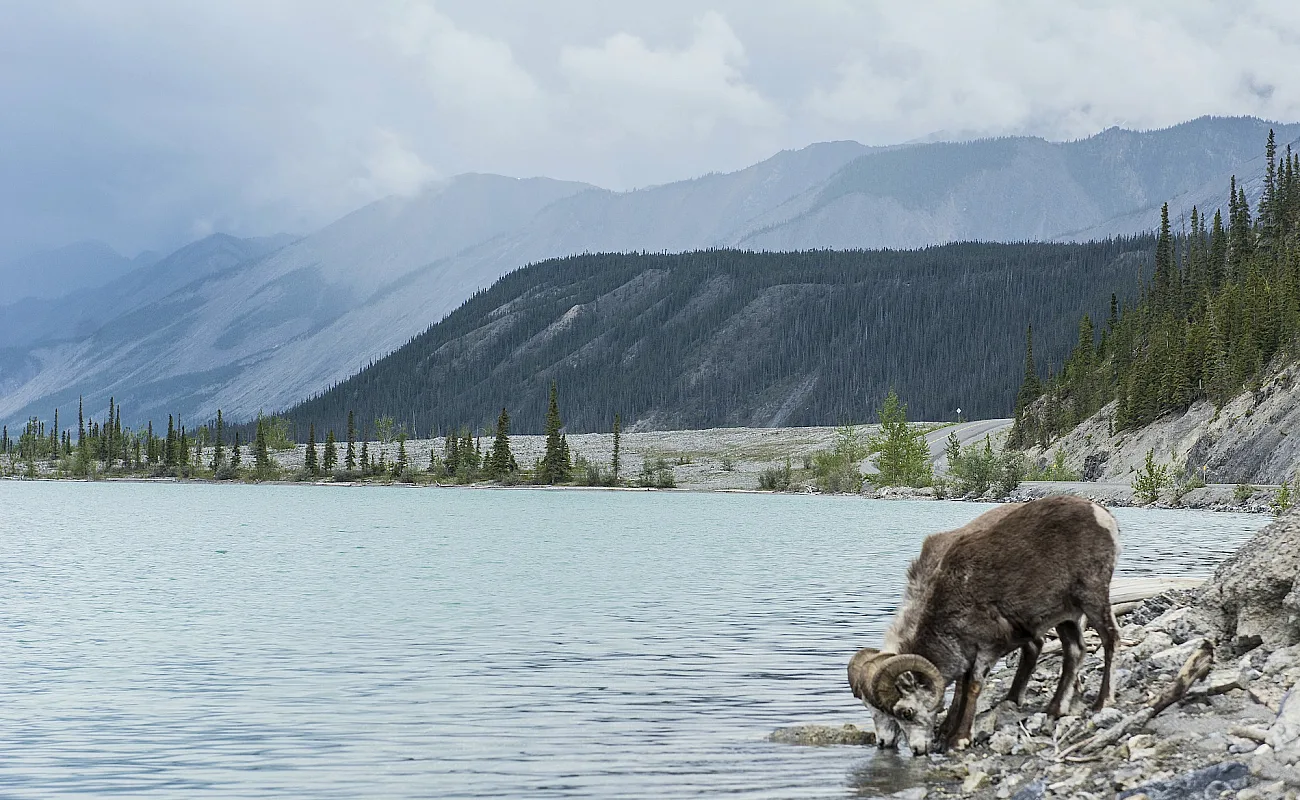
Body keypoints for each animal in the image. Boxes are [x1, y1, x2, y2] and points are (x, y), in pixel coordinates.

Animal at [847, 495, 1120, 755]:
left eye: (906, 712)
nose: (915, 749)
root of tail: (1101, 514)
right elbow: (962, 686)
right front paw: (948, 733)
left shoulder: (986, 650)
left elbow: (972, 687)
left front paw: (957, 739)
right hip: (1065, 615)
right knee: (1074, 651)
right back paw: (1054, 710)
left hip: (1092, 597)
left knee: (1110, 639)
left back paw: (1102, 703)